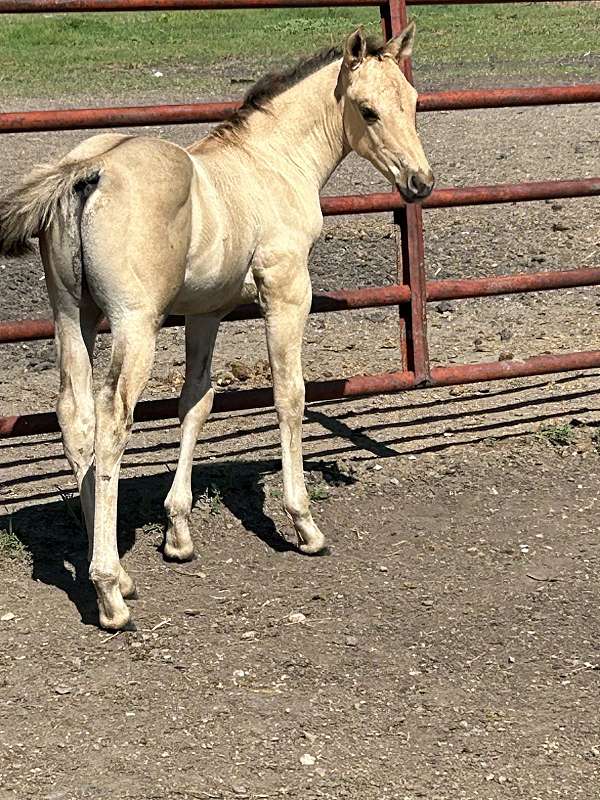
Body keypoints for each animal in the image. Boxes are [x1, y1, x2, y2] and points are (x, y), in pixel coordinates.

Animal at [0, 25, 434, 630]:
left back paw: (114, 570)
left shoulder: (206, 312)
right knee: (112, 422)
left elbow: (196, 401)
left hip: (71, 315)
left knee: (75, 417)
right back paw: (108, 592)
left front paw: (178, 533)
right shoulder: (286, 293)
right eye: (367, 110)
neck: (271, 162)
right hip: (134, 324)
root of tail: (90, 171)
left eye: (413, 104)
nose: (420, 182)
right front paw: (304, 524)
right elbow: (288, 397)